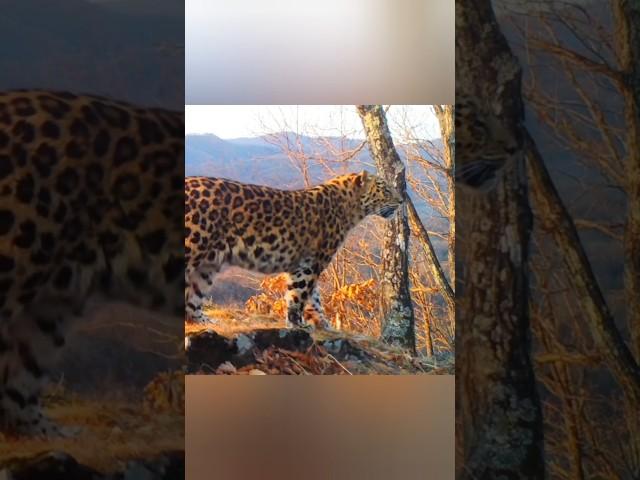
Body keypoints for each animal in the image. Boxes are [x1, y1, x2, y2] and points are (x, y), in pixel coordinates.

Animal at [185, 172, 402, 330]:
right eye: (385, 189)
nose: (401, 201)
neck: (350, 207)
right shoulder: (311, 263)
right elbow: (299, 294)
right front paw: (297, 324)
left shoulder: (304, 263)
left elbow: (313, 297)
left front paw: (323, 324)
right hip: (192, 247)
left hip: (207, 266)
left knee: (193, 298)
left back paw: (205, 322)